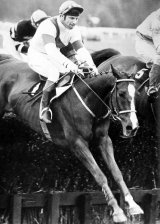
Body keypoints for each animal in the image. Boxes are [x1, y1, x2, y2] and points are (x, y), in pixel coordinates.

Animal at [0, 53, 142, 222]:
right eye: (121, 94)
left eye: (136, 94)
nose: (132, 127)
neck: (89, 100)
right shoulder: (77, 144)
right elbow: (100, 176)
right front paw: (117, 211)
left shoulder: (104, 140)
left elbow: (117, 172)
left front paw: (132, 204)